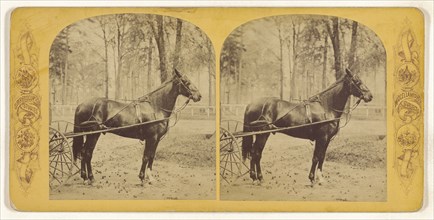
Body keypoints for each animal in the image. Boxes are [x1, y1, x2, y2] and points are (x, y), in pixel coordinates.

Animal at [71, 69, 202, 186]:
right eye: (186, 81)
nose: (199, 96)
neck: (156, 107)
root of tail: (81, 105)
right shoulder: (151, 138)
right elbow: (146, 157)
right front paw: (142, 178)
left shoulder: (156, 140)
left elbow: (152, 157)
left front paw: (150, 178)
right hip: (94, 134)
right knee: (87, 153)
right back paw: (90, 178)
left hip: (89, 134)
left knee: (83, 152)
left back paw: (85, 178)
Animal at [241, 69, 372, 186]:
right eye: (357, 81)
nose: (370, 96)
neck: (326, 107)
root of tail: (251, 104)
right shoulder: (322, 138)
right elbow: (316, 157)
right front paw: (312, 178)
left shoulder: (327, 139)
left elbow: (322, 157)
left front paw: (320, 178)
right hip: (263, 134)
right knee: (256, 154)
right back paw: (258, 178)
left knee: (254, 153)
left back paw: (255, 177)